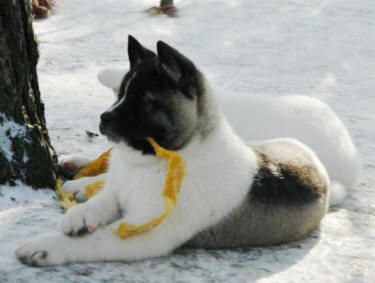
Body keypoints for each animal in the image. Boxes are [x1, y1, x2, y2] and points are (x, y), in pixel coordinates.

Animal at [16, 35, 338, 266]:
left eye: (144, 101)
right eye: (121, 94)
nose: (103, 118)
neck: (157, 161)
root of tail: (319, 166)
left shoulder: (144, 232)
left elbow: (92, 241)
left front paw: (42, 247)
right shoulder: (121, 188)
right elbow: (105, 198)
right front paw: (80, 214)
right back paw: (78, 176)